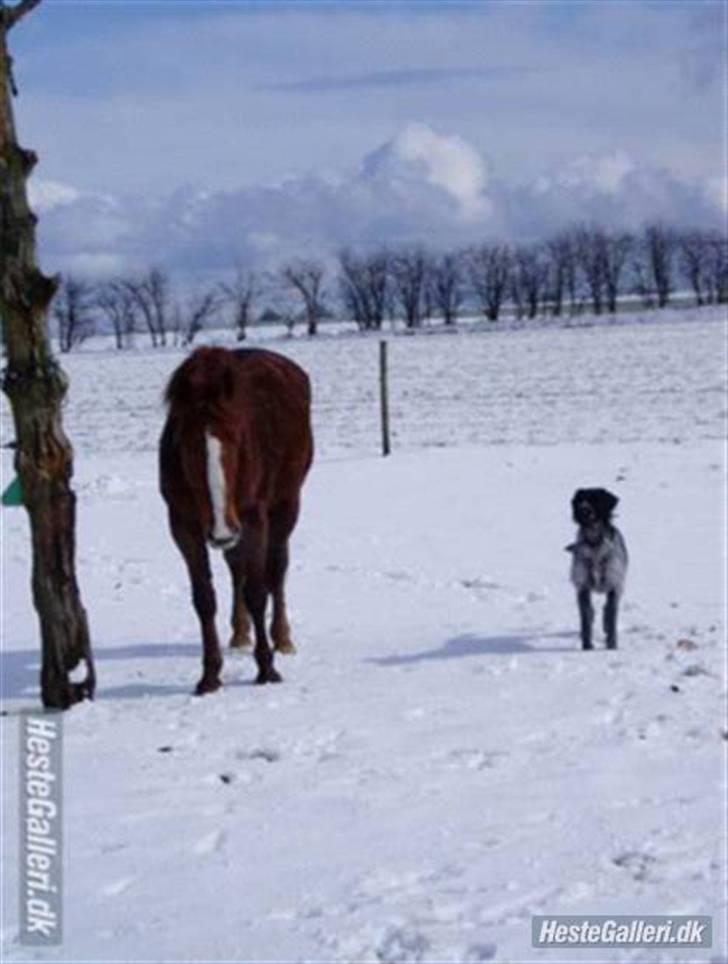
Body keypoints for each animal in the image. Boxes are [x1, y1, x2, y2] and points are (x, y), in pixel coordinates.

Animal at [159, 346, 312, 692]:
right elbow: (204, 599)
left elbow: (258, 592)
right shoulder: (183, 525)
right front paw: (210, 676)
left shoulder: (254, 519)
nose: (222, 531)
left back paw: (282, 638)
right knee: (236, 570)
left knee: (276, 571)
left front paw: (266, 669)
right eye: (184, 444)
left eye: (238, 437)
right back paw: (240, 633)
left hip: (285, 507)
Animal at [568, 486, 624, 652]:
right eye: (579, 500)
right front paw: (587, 646)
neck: (595, 545)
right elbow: (586, 619)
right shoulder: (582, 588)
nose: (583, 509)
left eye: (596, 499)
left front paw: (612, 645)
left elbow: (611, 618)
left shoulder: (614, 586)